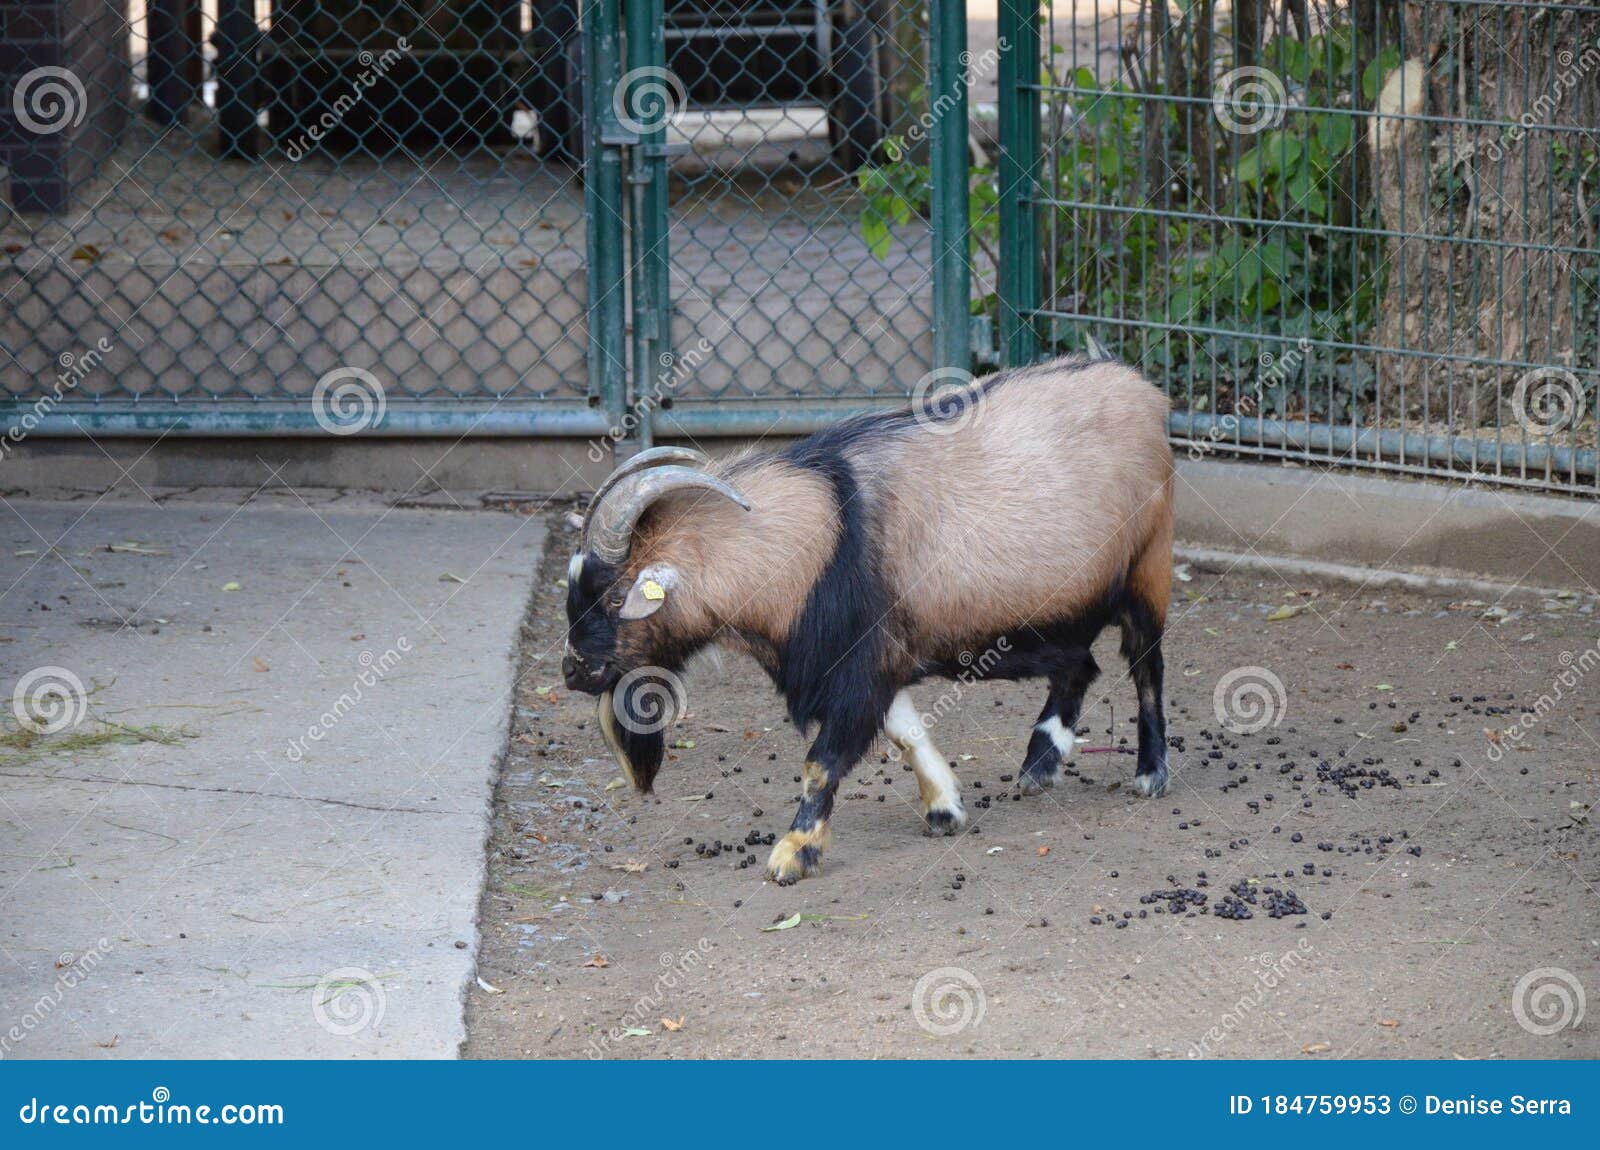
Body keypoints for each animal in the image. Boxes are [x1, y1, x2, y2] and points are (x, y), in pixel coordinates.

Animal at [563, 355, 1177, 889]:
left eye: (616, 597)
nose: (573, 672)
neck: (817, 538)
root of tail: (1146, 393)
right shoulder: (879, 659)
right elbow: (905, 731)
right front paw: (945, 808)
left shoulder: (856, 666)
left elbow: (822, 761)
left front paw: (794, 853)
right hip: (1059, 612)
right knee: (1081, 666)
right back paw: (1039, 764)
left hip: (1147, 570)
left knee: (1146, 667)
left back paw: (1149, 773)